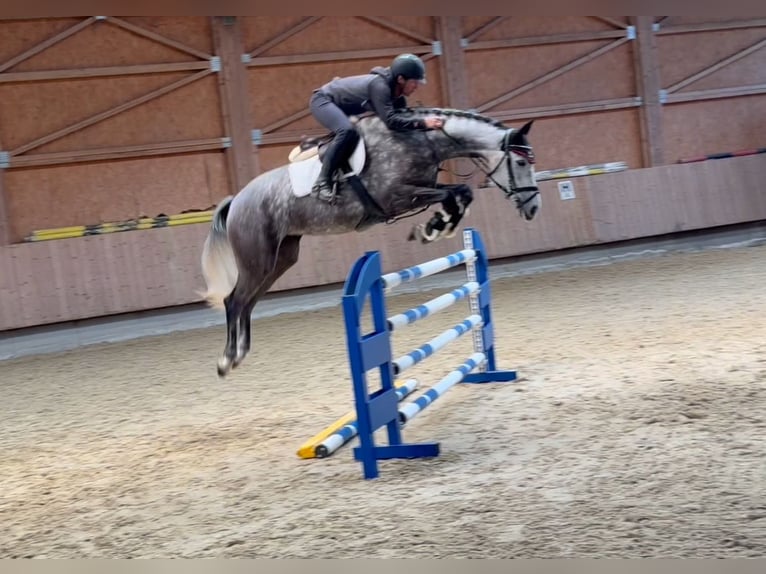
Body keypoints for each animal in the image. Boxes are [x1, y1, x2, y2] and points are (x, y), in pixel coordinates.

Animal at [200, 107, 540, 377]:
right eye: (522, 164)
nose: (534, 208)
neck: (423, 142)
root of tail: (237, 200)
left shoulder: (419, 191)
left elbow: (460, 193)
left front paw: (435, 226)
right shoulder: (398, 197)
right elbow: (453, 193)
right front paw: (433, 227)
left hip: (281, 258)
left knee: (248, 301)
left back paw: (240, 354)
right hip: (258, 258)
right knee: (234, 300)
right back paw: (226, 360)